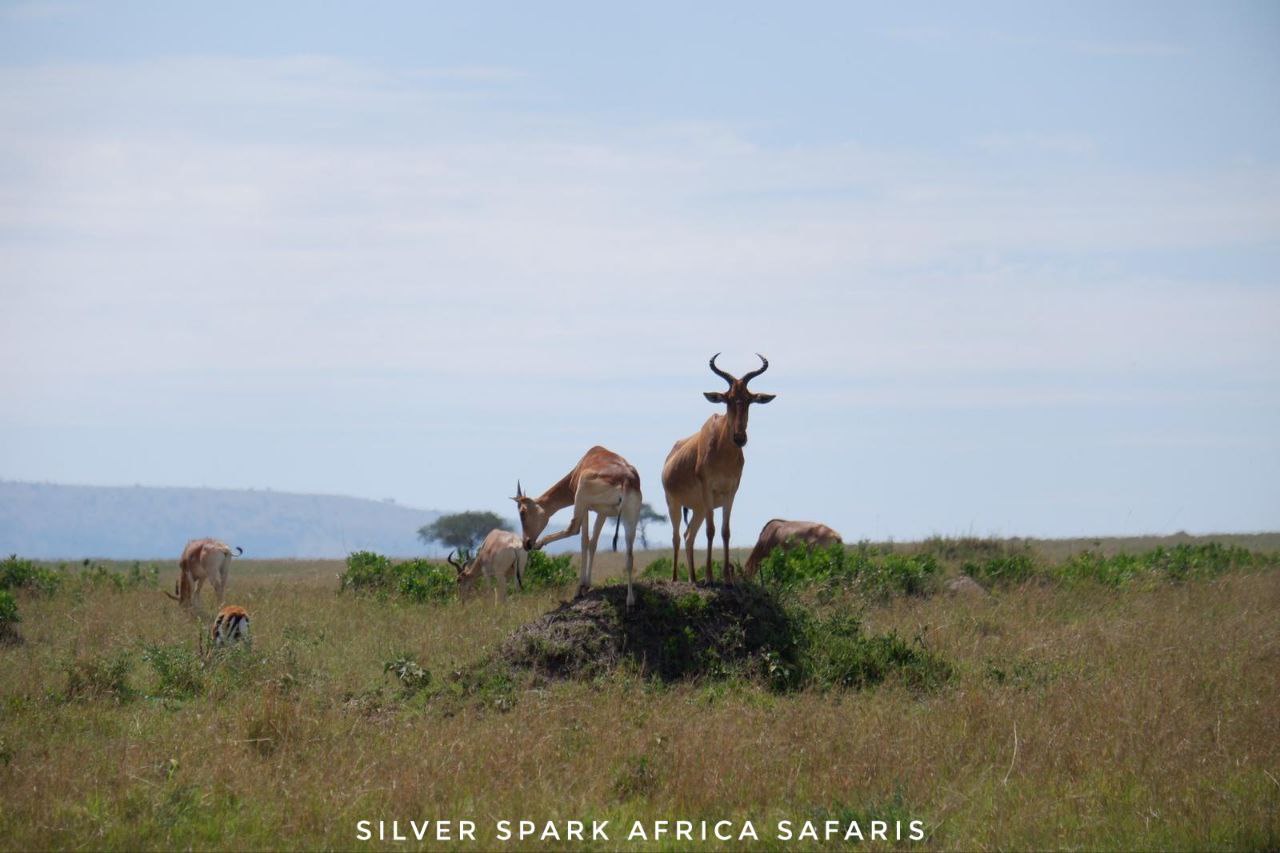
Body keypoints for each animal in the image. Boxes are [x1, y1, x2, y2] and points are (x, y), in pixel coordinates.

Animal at [514, 445, 645, 604]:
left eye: (522, 512)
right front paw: (587, 585)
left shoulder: (587, 508)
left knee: (573, 529)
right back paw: (630, 601)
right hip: (630, 517)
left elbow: (584, 541)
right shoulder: (603, 513)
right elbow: (593, 543)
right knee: (629, 555)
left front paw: (582, 587)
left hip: (581, 500)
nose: (527, 543)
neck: (586, 460)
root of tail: (625, 480)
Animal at [665, 353, 773, 584]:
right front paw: (709, 577)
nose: (740, 438)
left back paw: (693, 578)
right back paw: (677, 578)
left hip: (698, 508)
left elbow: (725, 531)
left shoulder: (730, 493)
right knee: (677, 537)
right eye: (728, 398)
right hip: (674, 503)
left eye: (749, 399)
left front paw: (727, 579)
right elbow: (711, 531)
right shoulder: (708, 490)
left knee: (689, 536)